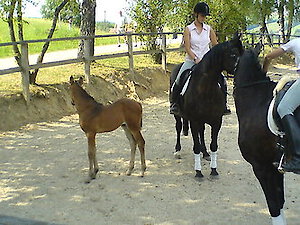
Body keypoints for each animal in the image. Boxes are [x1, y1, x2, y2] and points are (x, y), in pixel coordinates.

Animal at [173, 33, 244, 178]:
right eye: (233, 54)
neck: (205, 88)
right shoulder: (194, 121)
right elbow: (195, 146)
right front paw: (198, 172)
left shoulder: (217, 121)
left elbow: (214, 145)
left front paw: (213, 169)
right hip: (178, 115)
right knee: (178, 127)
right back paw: (177, 150)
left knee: (201, 132)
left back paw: (205, 152)